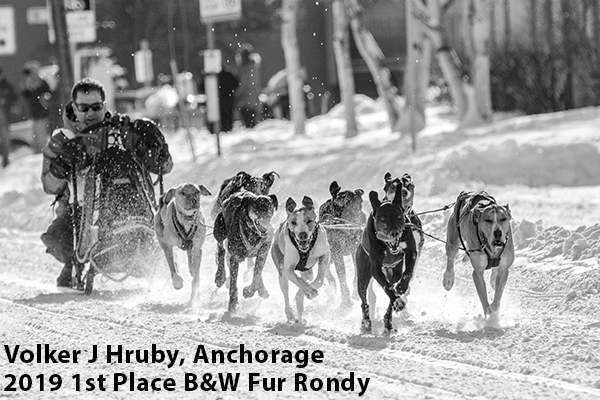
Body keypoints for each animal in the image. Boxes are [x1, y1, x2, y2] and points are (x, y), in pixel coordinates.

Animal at [356, 185, 417, 334]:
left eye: (399, 217)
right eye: (383, 219)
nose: (395, 232)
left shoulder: (411, 252)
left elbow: (408, 273)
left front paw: (401, 287)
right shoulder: (376, 268)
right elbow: (387, 288)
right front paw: (398, 300)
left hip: (394, 273)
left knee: (390, 296)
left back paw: (388, 323)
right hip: (363, 276)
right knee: (364, 301)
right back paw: (366, 323)